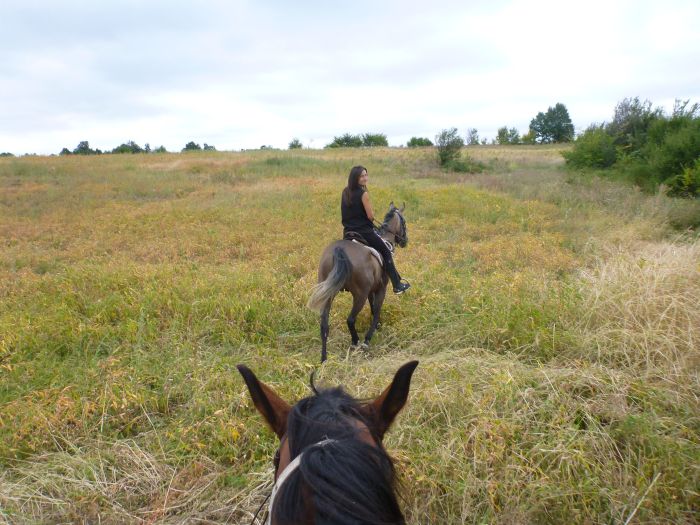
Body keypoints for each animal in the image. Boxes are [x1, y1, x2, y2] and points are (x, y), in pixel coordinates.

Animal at [308, 203, 410, 362]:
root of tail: (339, 249)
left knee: (324, 324)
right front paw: (368, 338)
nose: (405, 241)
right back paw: (356, 342)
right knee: (350, 319)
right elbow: (376, 310)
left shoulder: (371, 290)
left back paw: (324, 359)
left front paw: (377, 327)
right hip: (359, 295)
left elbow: (373, 308)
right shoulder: (381, 288)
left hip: (328, 293)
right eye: (404, 222)